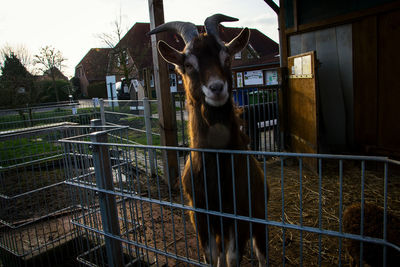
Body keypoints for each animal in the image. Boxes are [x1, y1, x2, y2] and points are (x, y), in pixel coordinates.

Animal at [149, 13, 268, 266]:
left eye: (227, 57)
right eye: (188, 64)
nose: (216, 88)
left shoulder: (240, 213)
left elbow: (232, 257)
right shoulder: (201, 215)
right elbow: (212, 256)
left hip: (259, 217)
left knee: (261, 253)